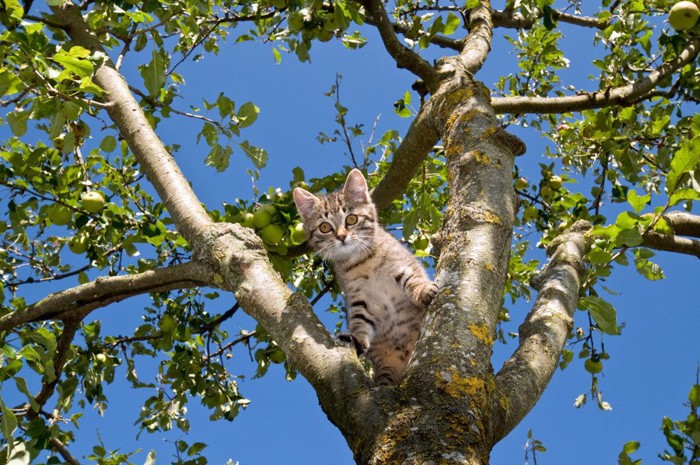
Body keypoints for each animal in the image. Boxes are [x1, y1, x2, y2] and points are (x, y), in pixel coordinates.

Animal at [292, 169, 438, 384]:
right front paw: (357, 339)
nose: (341, 236)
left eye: (351, 219)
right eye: (325, 227)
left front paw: (424, 290)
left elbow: (413, 279)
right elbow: (360, 320)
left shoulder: (401, 266)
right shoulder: (358, 296)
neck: (361, 261)